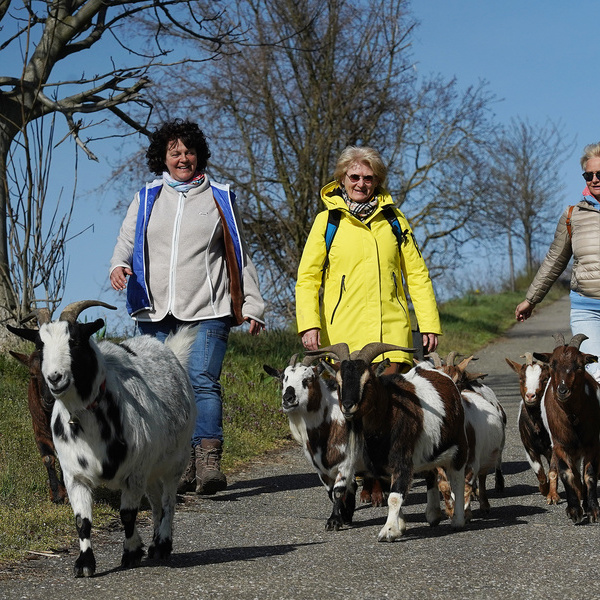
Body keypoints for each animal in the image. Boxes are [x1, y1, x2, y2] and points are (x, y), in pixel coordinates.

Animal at [7, 302, 195, 580]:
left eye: (74, 341)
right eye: (40, 345)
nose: (55, 378)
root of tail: (169, 351)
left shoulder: (134, 473)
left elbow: (127, 515)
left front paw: (131, 553)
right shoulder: (75, 475)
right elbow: (82, 522)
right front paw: (85, 564)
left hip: (176, 459)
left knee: (168, 501)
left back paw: (162, 545)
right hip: (151, 467)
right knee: (156, 502)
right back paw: (153, 545)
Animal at [310, 342, 468, 544]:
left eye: (368, 381)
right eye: (338, 382)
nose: (347, 406)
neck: (388, 416)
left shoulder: (403, 459)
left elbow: (394, 497)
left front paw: (388, 531)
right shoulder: (384, 466)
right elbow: (394, 495)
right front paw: (399, 526)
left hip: (459, 445)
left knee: (457, 477)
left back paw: (458, 520)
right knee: (430, 474)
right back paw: (433, 515)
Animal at [504, 352, 560, 506]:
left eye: (545, 379)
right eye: (521, 378)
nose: (530, 396)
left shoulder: (555, 445)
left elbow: (553, 471)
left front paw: (552, 496)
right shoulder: (529, 448)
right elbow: (540, 473)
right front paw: (544, 489)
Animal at [536, 332, 600, 524]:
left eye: (579, 366)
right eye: (552, 364)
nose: (563, 391)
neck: (572, 415)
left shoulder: (592, 443)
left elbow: (590, 474)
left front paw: (593, 510)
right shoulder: (560, 444)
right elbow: (567, 473)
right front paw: (574, 511)